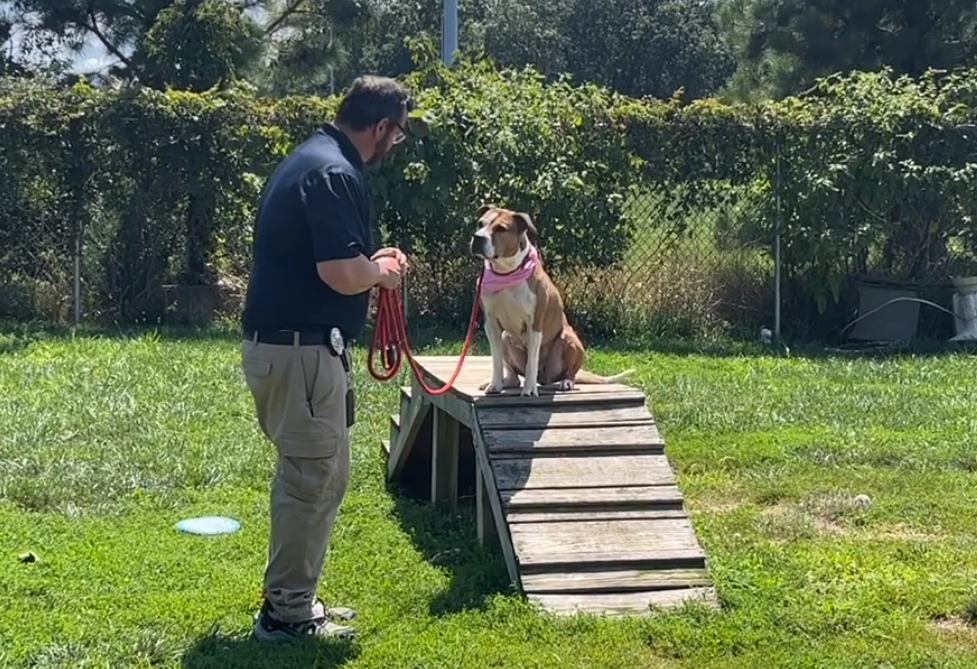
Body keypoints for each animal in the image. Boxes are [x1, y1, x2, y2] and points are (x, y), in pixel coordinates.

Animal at [468, 201, 636, 394]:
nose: (477, 238)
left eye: (501, 229)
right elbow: (496, 359)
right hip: (505, 337)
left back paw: (565, 382)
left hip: (569, 338)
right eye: (480, 223)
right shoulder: (491, 324)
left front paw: (530, 389)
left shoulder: (534, 323)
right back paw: (506, 382)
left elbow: (532, 362)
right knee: (515, 376)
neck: (506, 273)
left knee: (566, 373)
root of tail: (545, 377)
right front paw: (495, 384)